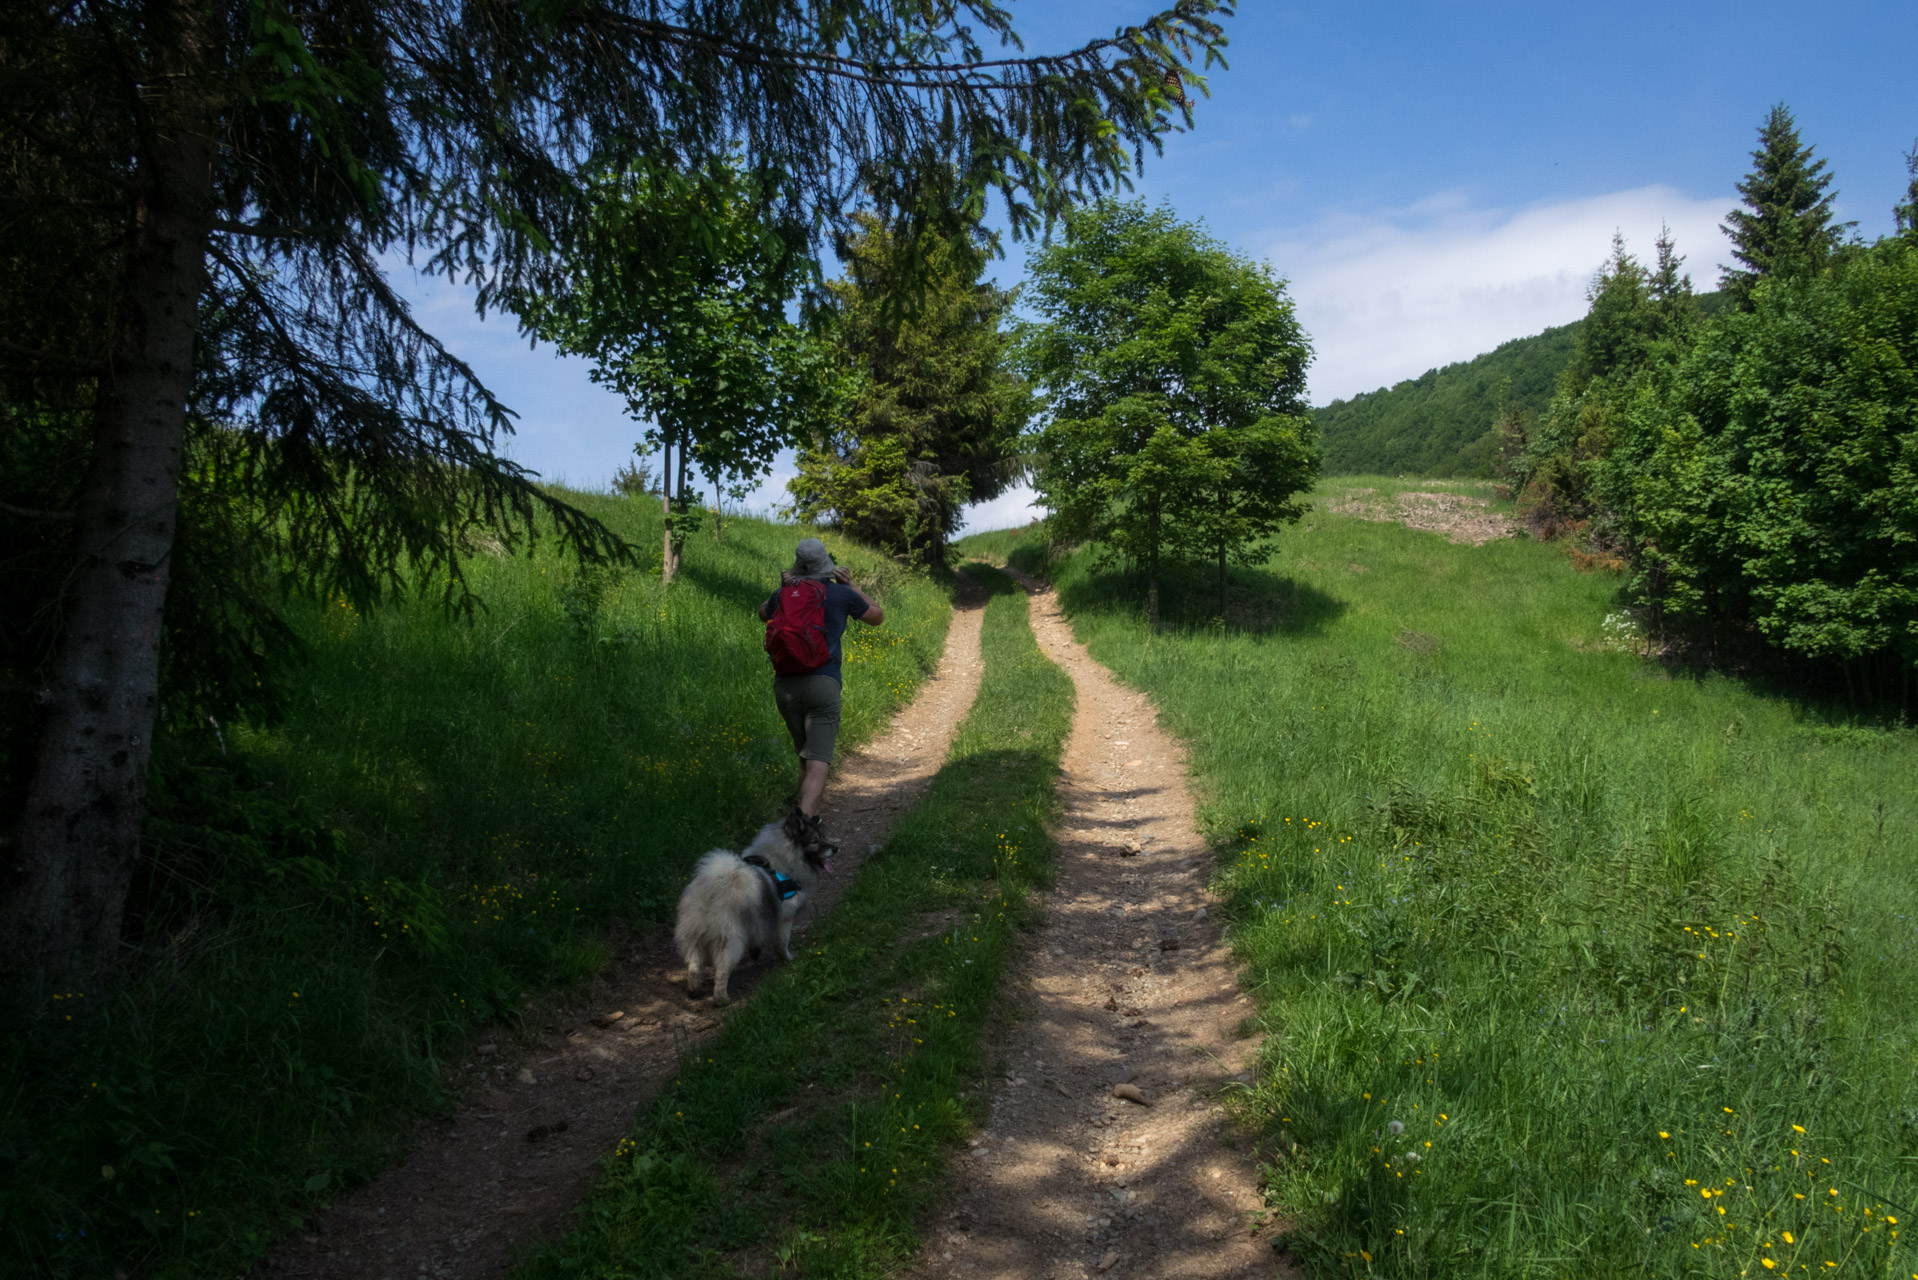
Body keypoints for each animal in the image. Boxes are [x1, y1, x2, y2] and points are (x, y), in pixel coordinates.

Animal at [675, 809, 832, 997]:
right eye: (815, 841)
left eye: (823, 836)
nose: (835, 848)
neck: (782, 862)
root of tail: (712, 890)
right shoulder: (785, 918)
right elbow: (782, 942)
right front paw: (787, 958)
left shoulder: (757, 919)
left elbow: (757, 936)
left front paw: (756, 952)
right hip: (731, 939)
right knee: (722, 970)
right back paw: (722, 998)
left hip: (694, 936)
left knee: (694, 965)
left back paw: (694, 990)